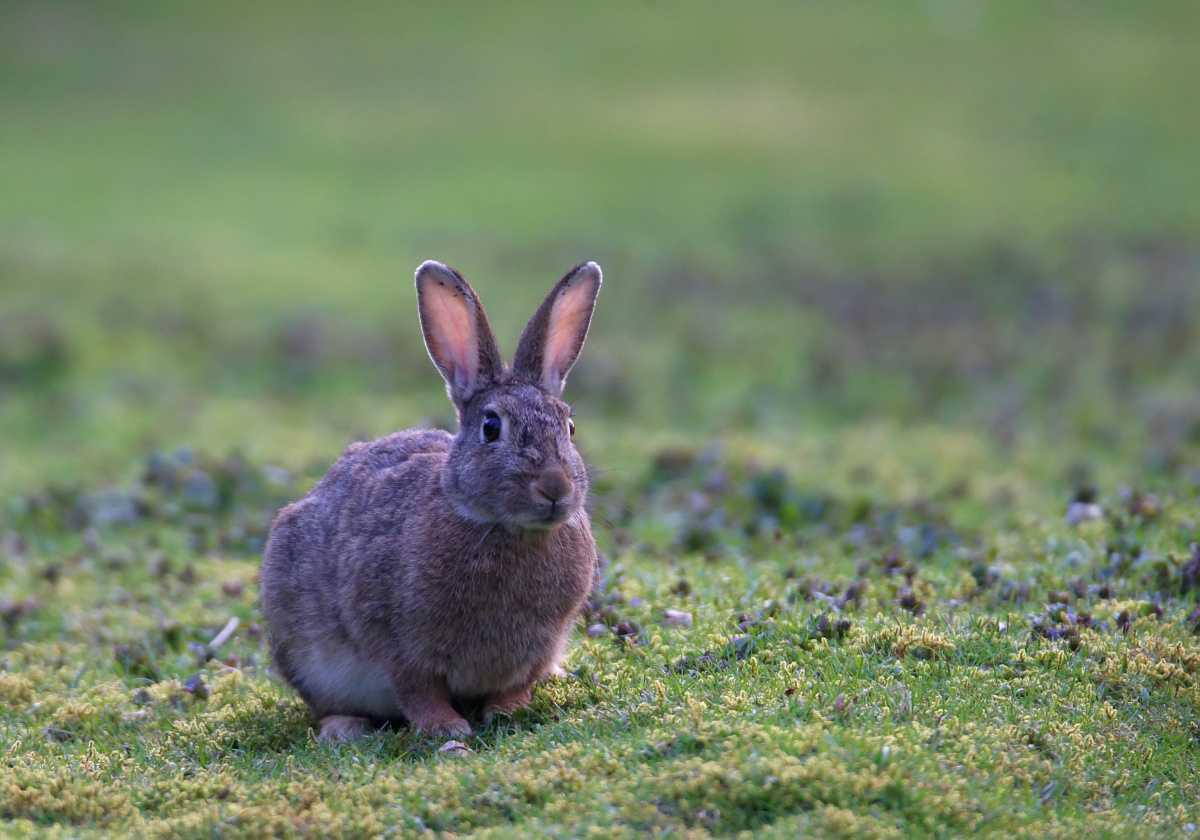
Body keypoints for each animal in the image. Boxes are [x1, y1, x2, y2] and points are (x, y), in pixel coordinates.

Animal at [260, 260, 603, 742]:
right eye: (491, 428)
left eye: (569, 428)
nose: (555, 488)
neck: (502, 528)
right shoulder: (398, 643)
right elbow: (419, 690)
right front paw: (447, 728)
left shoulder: (538, 646)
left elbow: (516, 683)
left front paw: (507, 711)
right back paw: (344, 727)